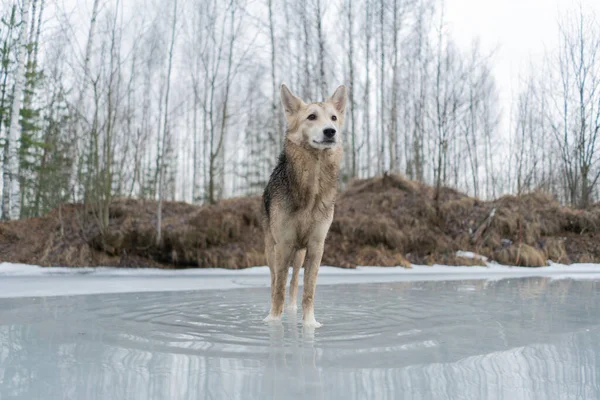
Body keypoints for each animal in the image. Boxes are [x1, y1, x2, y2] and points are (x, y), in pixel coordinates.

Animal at [260, 84, 344, 328]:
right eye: (312, 117)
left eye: (333, 118)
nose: (330, 131)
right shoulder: (283, 244)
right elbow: (278, 288)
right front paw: (273, 321)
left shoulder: (316, 246)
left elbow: (308, 291)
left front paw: (310, 324)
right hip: (272, 247)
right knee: (274, 281)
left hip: (299, 254)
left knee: (294, 282)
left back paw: (292, 309)